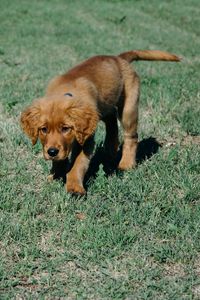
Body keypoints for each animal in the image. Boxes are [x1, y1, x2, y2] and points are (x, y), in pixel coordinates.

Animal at [20, 49, 180, 195]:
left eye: (66, 128)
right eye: (43, 129)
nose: (52, 152)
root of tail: (118, 58)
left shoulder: (86, 140)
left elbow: (78, 164)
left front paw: (74, 187)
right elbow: (60, 159)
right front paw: (55, 175)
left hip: (129, 108)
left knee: (131, 136)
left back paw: (126, 164)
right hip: (103, 107)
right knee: (111, 119)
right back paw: (111, 147)